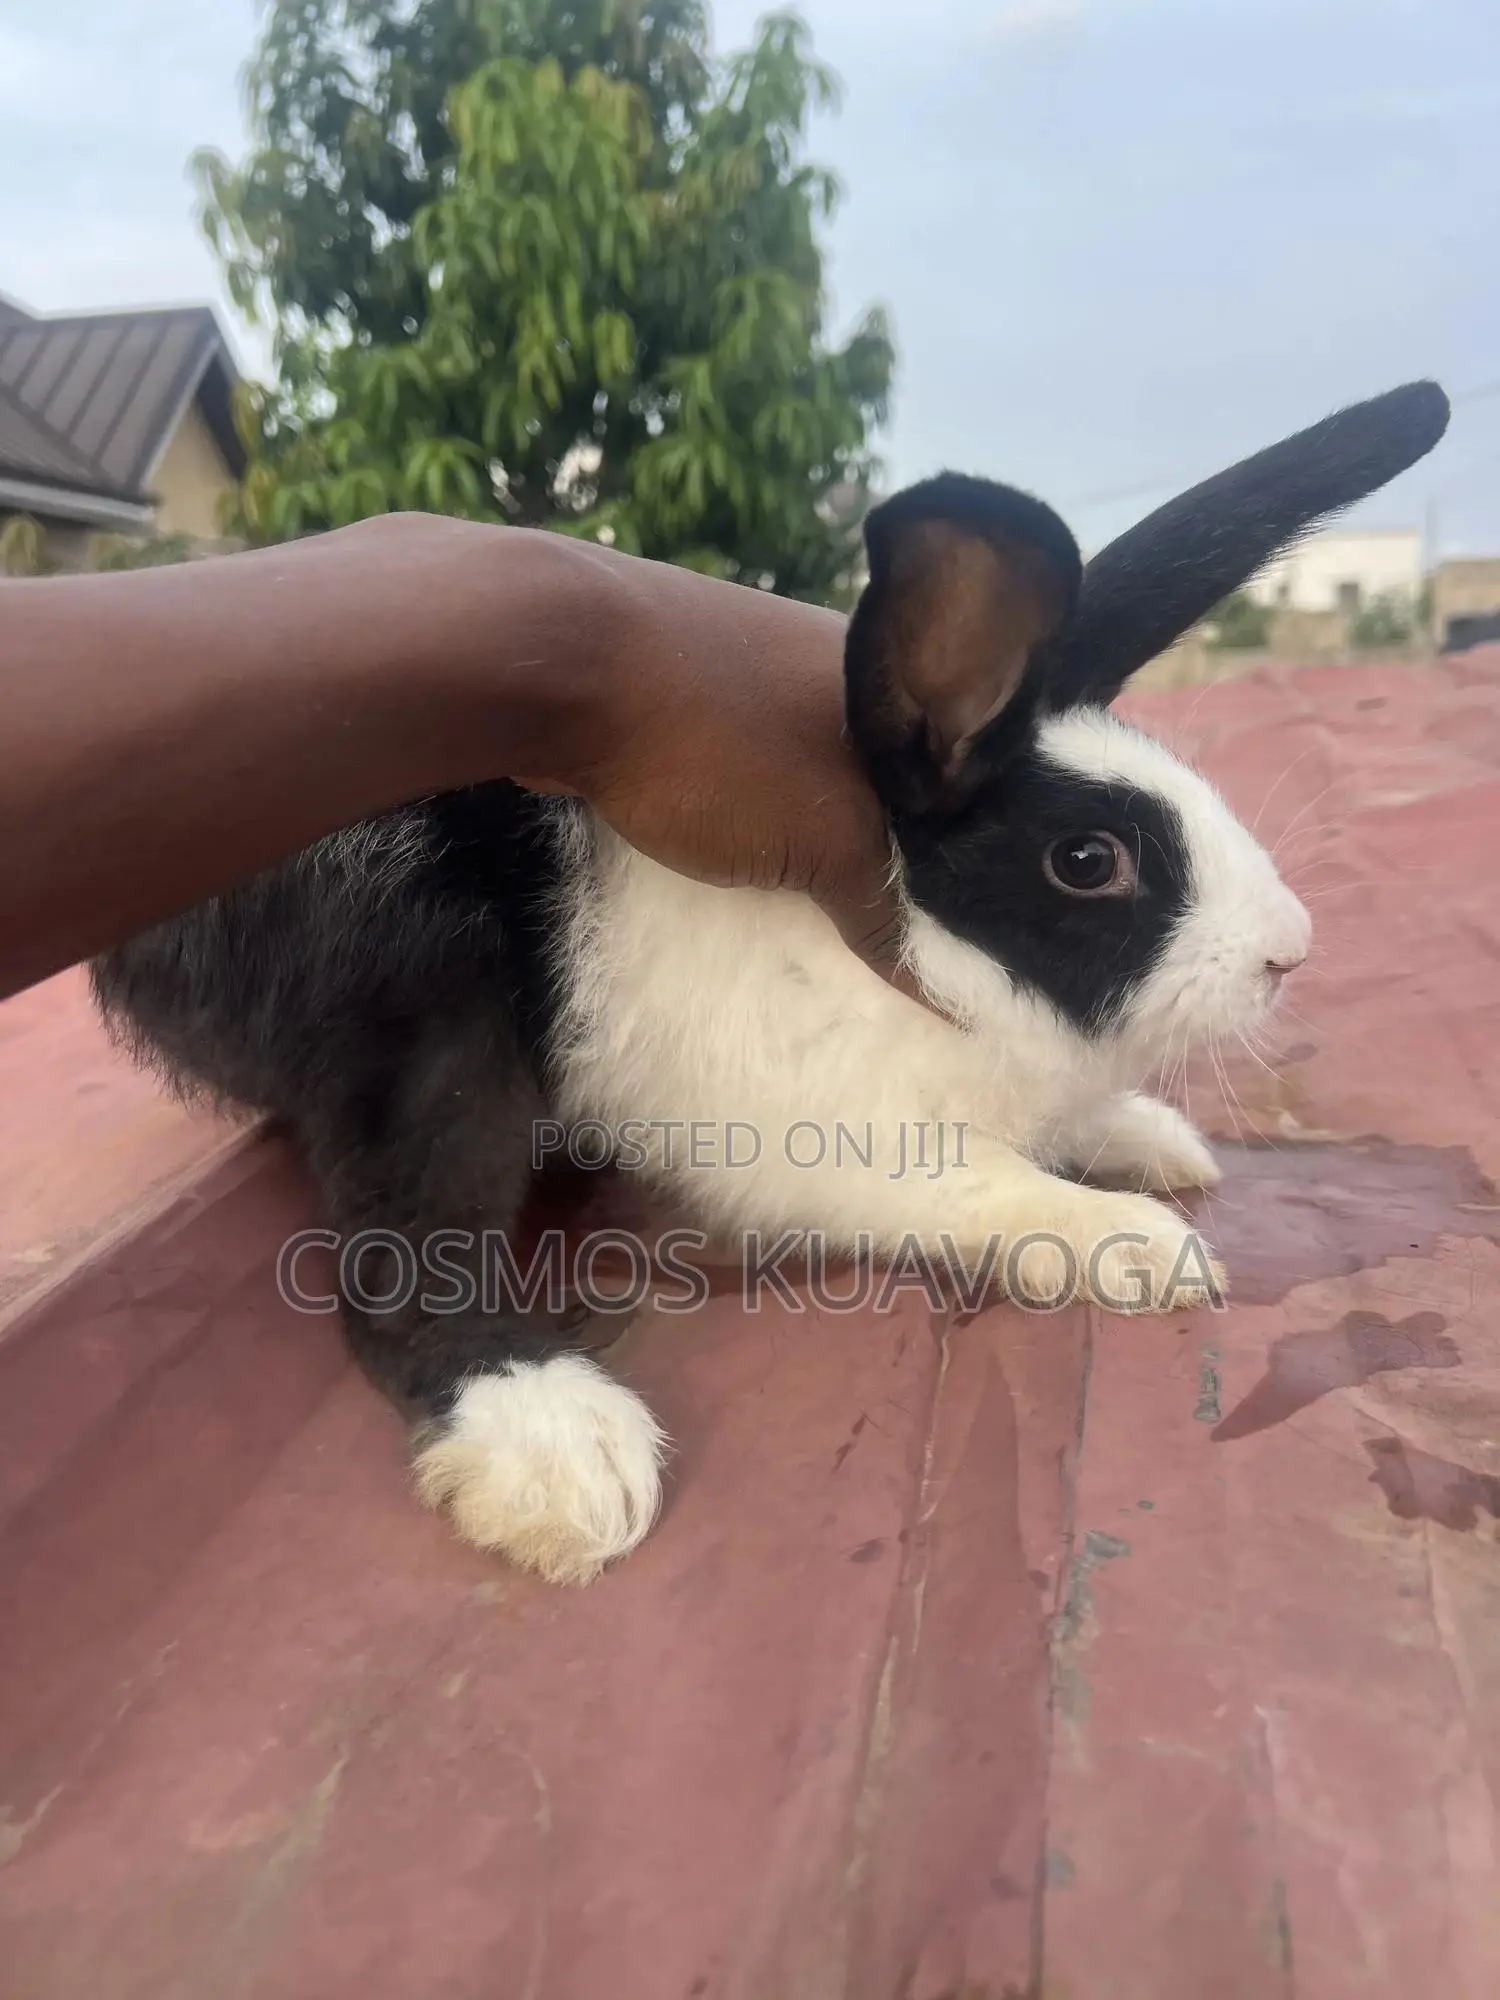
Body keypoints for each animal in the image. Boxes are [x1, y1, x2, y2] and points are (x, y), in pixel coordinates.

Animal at [92, 379, 1450, 1585]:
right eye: (1087, 860)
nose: (1290, 948)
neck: (930, 960)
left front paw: (1157, 1142)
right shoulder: (850, 1145)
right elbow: (997, 1188)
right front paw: (1143, 1247)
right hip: (421, 986)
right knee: (394, 1260)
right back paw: (556, 1446)